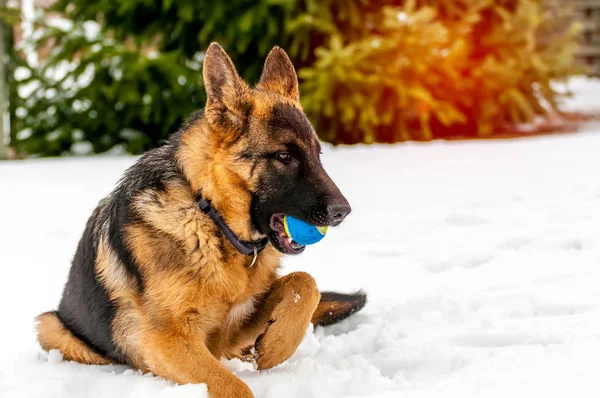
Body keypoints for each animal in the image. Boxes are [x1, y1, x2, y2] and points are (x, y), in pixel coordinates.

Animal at [37, 42, 368, 396]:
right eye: (284, 156)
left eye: (317, 155)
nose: (343, 211)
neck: (211, 218)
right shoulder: (167, 341)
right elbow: (235, 387)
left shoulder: (231, 329)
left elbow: (304, 282)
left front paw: (276, 346)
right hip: (51, 327)